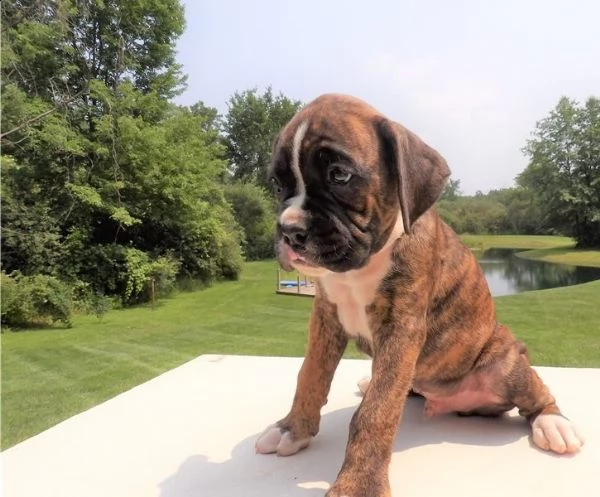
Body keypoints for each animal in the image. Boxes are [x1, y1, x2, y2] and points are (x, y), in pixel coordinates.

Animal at [255, 94, 584, 496]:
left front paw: (358, 485)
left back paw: (554, 424)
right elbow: (310, 375)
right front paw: (292, 429)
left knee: (536, 394)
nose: (289, 230)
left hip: (505, 364)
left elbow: (376, 413)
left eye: (339, 175)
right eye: (276, 184)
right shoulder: (326, 317)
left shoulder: (402, 328)